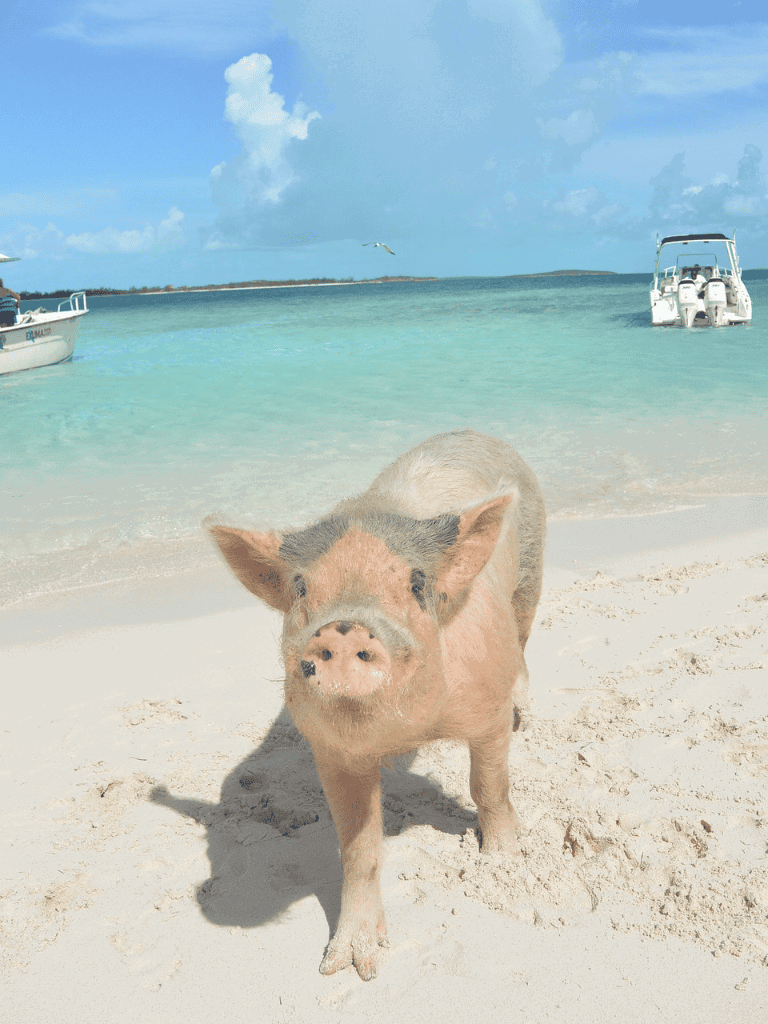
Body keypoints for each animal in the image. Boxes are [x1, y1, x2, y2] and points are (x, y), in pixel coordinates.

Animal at [207, 430, 546, 980]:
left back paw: (527, 716)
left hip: (530, 575)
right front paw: (349, 966)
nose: (342, 628)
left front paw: (501, 862)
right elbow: (358, 844)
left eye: (416, 582)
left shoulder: (487, 709)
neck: (409, 731)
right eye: (302, 586)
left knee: (523, 640)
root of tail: (472, 433)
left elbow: (489, 786)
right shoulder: (331, 750)